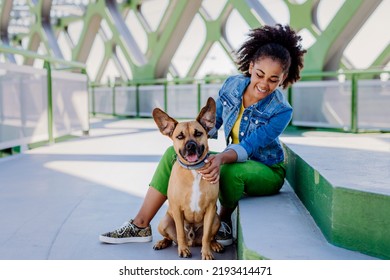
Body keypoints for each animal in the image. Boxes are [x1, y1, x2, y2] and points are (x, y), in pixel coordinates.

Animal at [153, 97, 224, 260]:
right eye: (180, 136)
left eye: (198, 133)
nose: (191, 146)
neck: (194, 170)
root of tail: (193, 240)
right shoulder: (177, 209)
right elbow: (180, 233)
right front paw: (183, 249)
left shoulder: (211, 209)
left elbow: (206, 237)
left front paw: (206, 252)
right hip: (164, 221)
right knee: (171, 237)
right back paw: (163, 242)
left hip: (216, 219)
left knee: (210, 237)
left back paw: (215, 244)